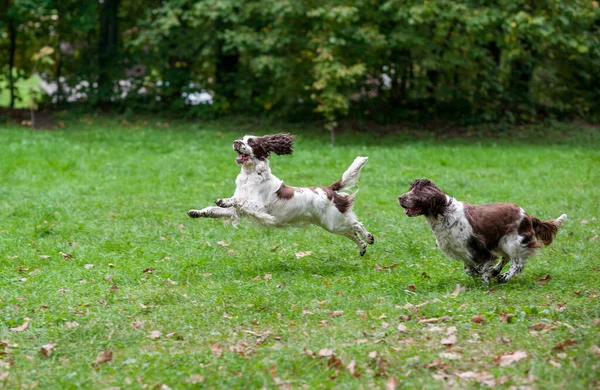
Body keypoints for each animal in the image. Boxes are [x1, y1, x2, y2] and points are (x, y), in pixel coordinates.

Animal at [188, 134, 376, 256]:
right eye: (241, 138)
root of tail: (329, 189)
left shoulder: (259, 208)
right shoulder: (238, 212)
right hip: (331, 224)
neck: (249, 175)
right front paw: (196, 212)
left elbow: (238, 200)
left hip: (333, 221)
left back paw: (369, 238)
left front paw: (224, 200)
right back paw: (362, 248)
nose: (236, 142)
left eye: (251, 141)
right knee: (351, 231)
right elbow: (213, 210)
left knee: (356, 224)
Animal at [398, 180, 568, 284]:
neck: (444, 213)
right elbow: (469, 269)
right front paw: (485, 273)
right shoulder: (464, 252)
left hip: (513, 241)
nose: (399, 197)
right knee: (506, 258)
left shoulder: (478, 248)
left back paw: (504, 277)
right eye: (410, 190)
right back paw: (496, 272)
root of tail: (527, 215)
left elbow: (483, 266)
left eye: (416, 193)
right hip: (501, 241)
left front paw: (486, 279)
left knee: (518, 263)